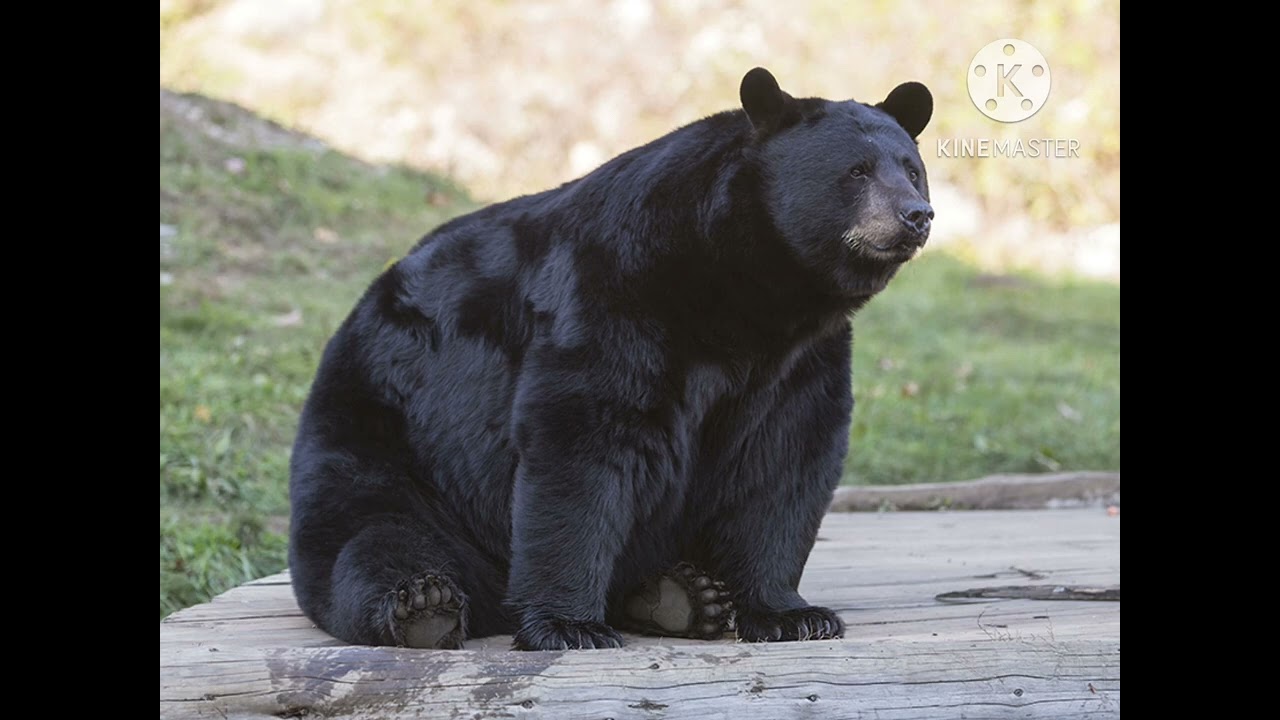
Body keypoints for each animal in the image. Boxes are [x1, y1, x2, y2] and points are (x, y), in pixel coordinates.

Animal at [288, 67, 934, 651]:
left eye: (912, 169)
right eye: (856, 171)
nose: (917, 215)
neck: (745, 292)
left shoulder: (801, 359)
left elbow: (785, 460)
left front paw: (792, 614)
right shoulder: (614, 291)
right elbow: (583, 442)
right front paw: (569, 625)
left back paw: (681, 596)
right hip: (391, 438)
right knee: (373, 536)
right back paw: (425, 605)